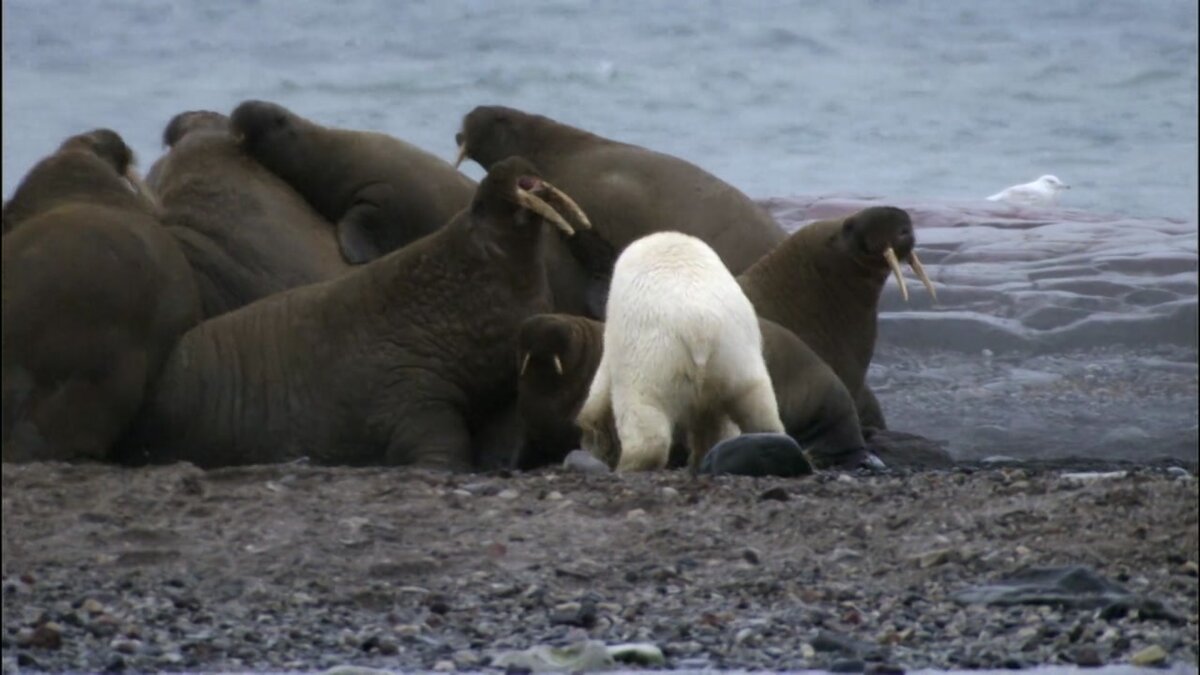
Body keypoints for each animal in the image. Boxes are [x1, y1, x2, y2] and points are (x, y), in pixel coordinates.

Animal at [573, 228, 782, 470]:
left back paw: (631, 464)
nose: (587, 448)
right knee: (758, 404)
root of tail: (699, 331)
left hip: (655, 357)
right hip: (736, 354)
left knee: (644, 414)